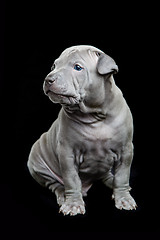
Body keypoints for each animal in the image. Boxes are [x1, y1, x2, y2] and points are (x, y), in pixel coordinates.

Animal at [27, 44, 136, 216]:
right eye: (54, 66)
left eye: (77, 67)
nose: (48, 79)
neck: (95, 115)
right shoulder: (67, 153)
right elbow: (71, 180)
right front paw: (72, 204)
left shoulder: (126, 150)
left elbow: (122, 176)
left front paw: (124, 198)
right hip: (37, 163)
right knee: (54, 184)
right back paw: (62, 195)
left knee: (106, 175)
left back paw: (111, 182)